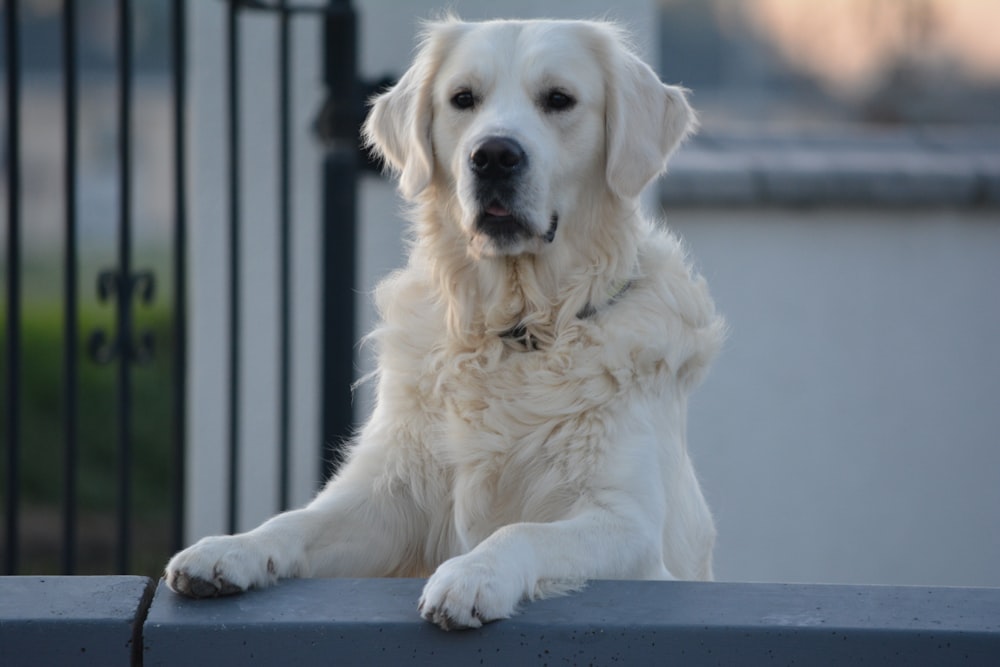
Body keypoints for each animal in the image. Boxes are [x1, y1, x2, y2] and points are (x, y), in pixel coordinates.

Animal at [166, 17, 728, 632]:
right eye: (463, 99)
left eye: (559, 100)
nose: (494, 156)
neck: (517, 331)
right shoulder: (389, 498)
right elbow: (295, 520)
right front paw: (229, 549)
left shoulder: (629, 524)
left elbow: (521, 530)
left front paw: (473, 576)